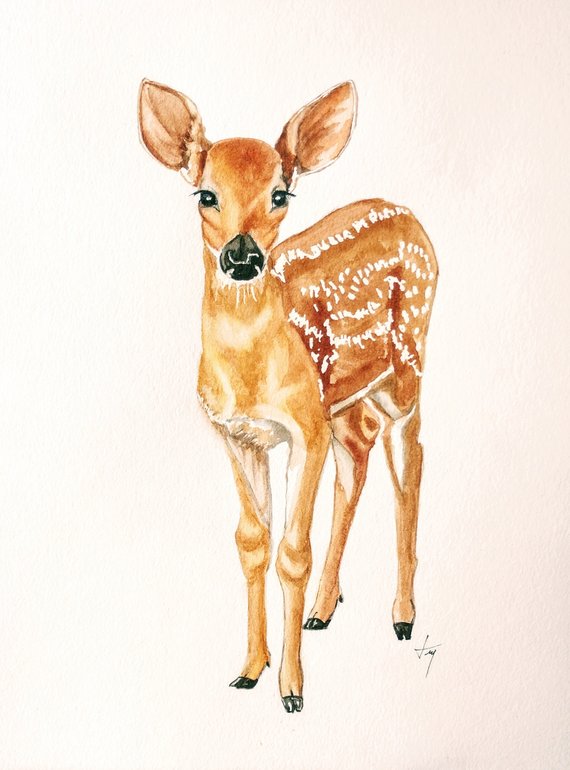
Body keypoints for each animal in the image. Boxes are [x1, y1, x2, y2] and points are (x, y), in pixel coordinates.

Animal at [138, 78, 438, 713]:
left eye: (280, 194)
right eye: (205, 194)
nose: (243, 256)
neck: (251, 372)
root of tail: (412, 217)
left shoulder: (304, 426)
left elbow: (291, 553)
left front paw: (292, 690)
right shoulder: (237, 434)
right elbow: (252, 542)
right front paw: (251, 669)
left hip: (406, 369)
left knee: (409, 464)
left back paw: (402, 617)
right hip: (345, 400)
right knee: (359, 458)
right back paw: (324, 610)